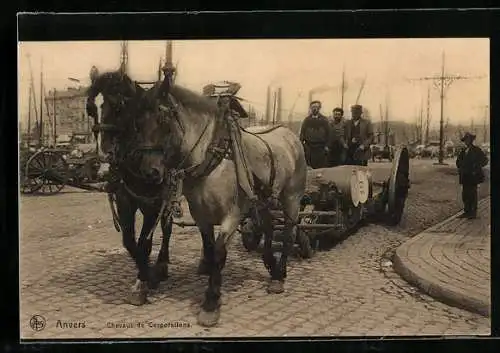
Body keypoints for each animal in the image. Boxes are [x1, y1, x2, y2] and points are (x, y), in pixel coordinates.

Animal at [131, 73, 306, 326]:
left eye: (163, 120)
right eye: (137, 123)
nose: (149, 172)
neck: (212, 156)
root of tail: (290, 134)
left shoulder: (232, 216)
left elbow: (219, 252)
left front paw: (211, 302)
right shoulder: (201, 215)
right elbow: (209, 247)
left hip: (292, 197)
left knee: (290, 232)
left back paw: (279, 274)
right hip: (262, 200)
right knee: (269, 226)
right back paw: (271, 266)